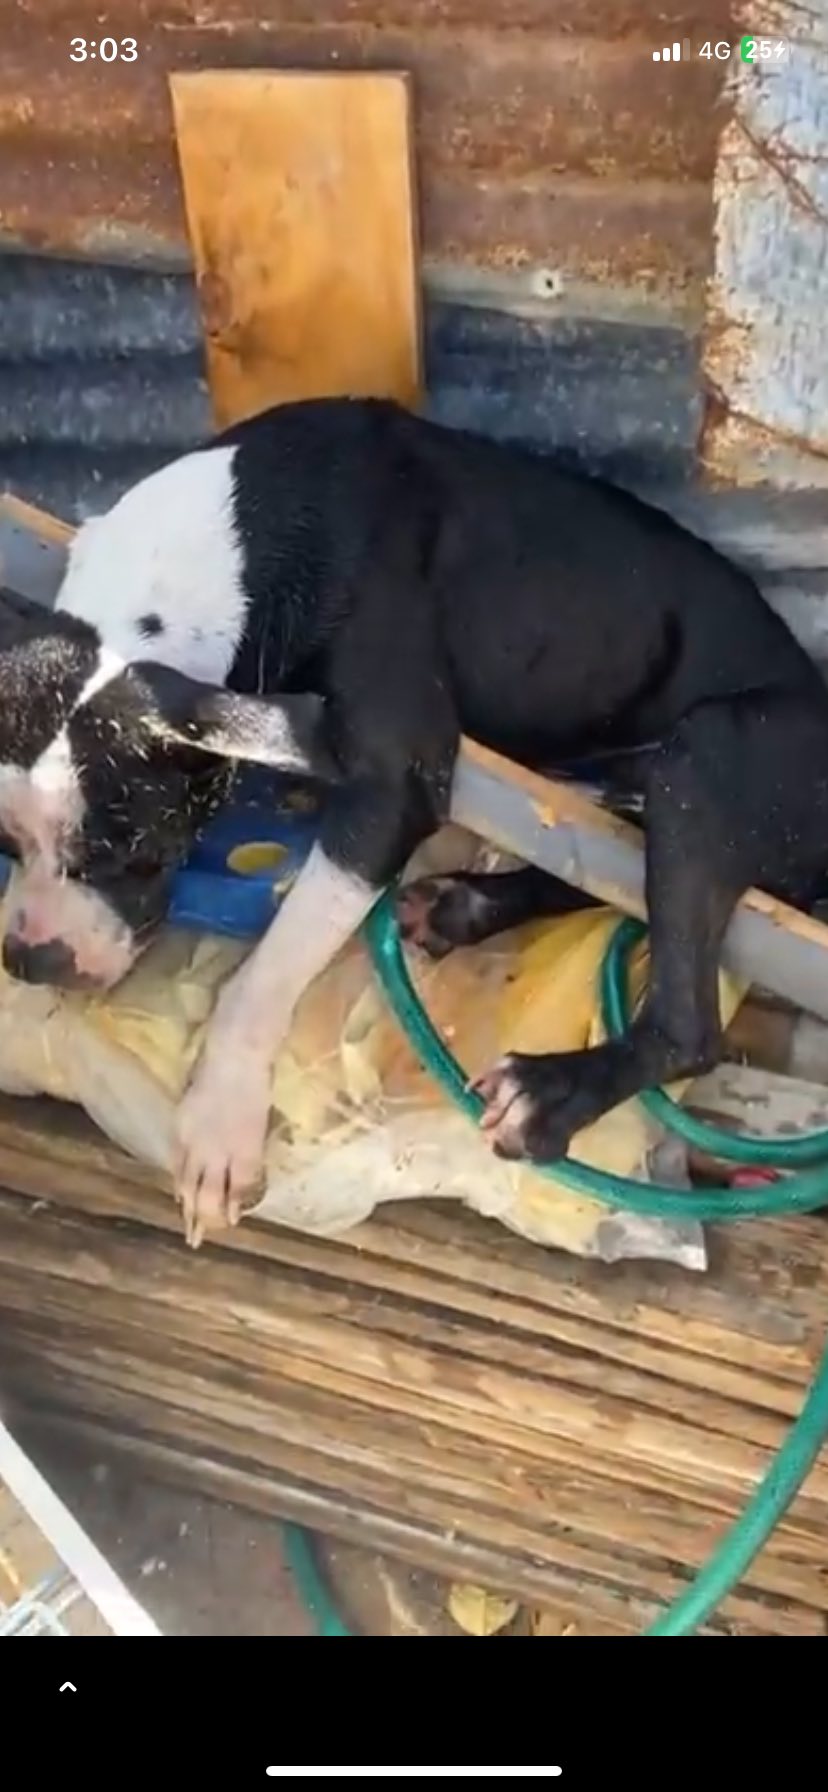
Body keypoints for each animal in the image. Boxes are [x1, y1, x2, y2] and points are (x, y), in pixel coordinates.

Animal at [2, 396, 828, 1247]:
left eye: (124, 853)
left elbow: (264, 975)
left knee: (688, 1020)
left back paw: (553, 1092)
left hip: (708, 754)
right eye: (8, 841)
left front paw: (218, 1122)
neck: (212, 553)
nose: (28, 960)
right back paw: (469, 905)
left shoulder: (395, 785)